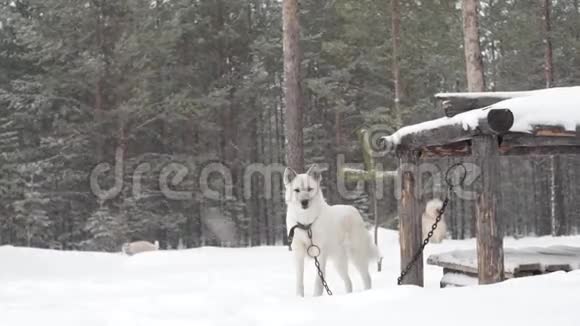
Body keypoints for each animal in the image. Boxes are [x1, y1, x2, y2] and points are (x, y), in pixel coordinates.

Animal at [282, 167, 380, 296]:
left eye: (309, 189)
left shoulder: (320, 253)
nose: (304, 202)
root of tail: (354, 210)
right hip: (338, 262)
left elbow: (319, 281)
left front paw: (316, 297)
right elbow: (299, 282)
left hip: (356, 255)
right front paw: (299, 297)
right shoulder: (298, 253)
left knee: (366, 278)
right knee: (348, 281)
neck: (307, 224)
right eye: (296, 190)